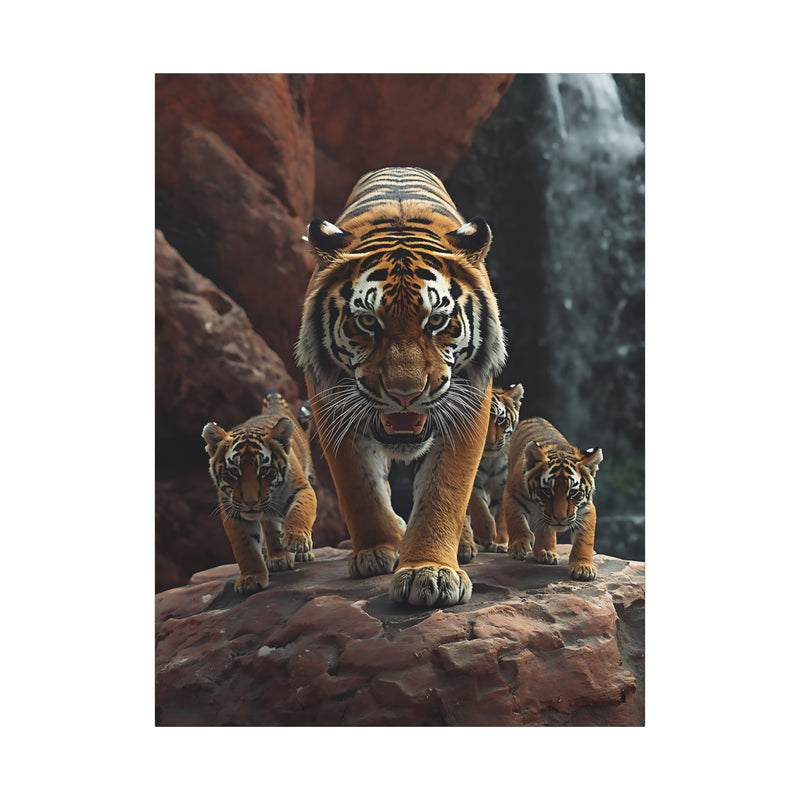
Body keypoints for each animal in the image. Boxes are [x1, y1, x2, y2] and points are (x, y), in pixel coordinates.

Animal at [201, 389, 317, 594]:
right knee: (271, 527)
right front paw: (251, 578)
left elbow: (300, 512)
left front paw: (296, 540)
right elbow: (245, 548)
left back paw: (302, 553)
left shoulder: (302, 489)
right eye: (234, 472)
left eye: (264, 470)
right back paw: (278, 557)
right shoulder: (233, 512)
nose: (250, 502)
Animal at [295, 166, 507, 607]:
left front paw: (432, 572)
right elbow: (359, 487)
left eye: (437, 321)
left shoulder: (469, 405)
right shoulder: (330, 404)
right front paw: (378, 550)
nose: (405, 394)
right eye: (367, 322)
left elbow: (444, 491)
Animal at [458, 383, 525, 562]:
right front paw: (486, 533)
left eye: (500, 420)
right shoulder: (473, 480)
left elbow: (501, 514)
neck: (490, 460)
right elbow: (479, 504)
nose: (488, 443)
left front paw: (500, 543)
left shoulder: (503, 485)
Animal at [503, 417, 603, 580]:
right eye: (547, 491)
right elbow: (516, 520)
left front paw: (583, 567)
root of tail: (533, 418)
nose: (560, 518)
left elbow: (584, 539)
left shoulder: (587, 508)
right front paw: (519, 545)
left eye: (573, 493)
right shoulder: (512, 494)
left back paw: (546, 552)